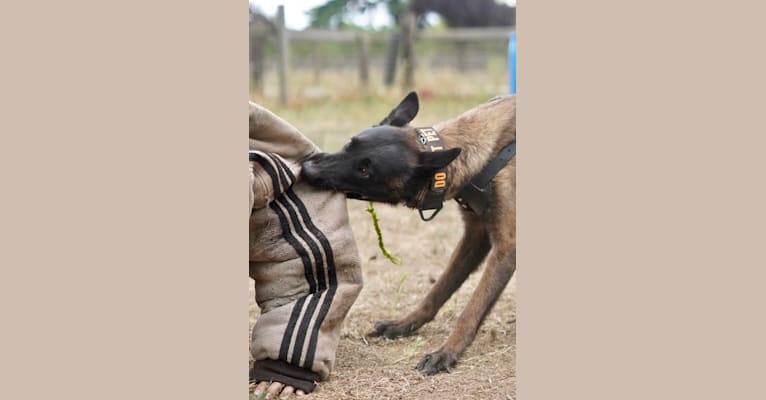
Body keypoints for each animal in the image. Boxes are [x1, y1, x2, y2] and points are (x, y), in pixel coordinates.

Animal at [300, 92, 516, 374]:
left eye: (365, 170)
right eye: (349, 144)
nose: (307, 169)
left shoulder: (505, 249)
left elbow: (471, 309)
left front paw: (446, 352)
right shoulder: (475, 237)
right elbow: (439, 290)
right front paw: (405, 324)